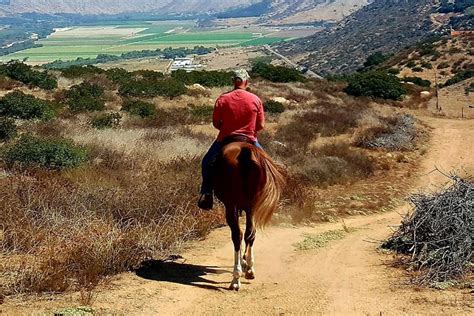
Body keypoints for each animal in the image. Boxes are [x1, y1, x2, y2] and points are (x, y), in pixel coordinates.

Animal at [215, 141, 286, 292]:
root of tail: (245, 150)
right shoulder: (248, 208)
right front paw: (247, 264)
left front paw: (243, 263)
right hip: (252, 205)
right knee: (250, 233)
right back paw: (249, 270)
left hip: (231, 204)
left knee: (237, 235)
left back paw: (236, 278)